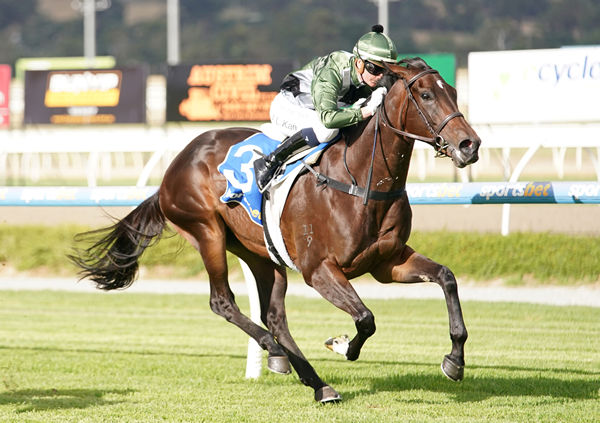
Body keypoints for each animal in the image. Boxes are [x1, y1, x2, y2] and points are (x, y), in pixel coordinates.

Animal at [71, 58, 482, 402]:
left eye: (453, 91)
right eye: (426, 94)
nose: (470, 144)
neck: (360, 181)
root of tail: (174, 167)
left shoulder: (388, 262)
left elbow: (446, 278)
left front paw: (454, 361)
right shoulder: (320, 270)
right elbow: (365, 319)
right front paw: (341, 345)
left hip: (260, 253)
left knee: (274, 316)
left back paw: (310, 378)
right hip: (207, 232)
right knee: (224, 302)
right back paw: (277, 352)